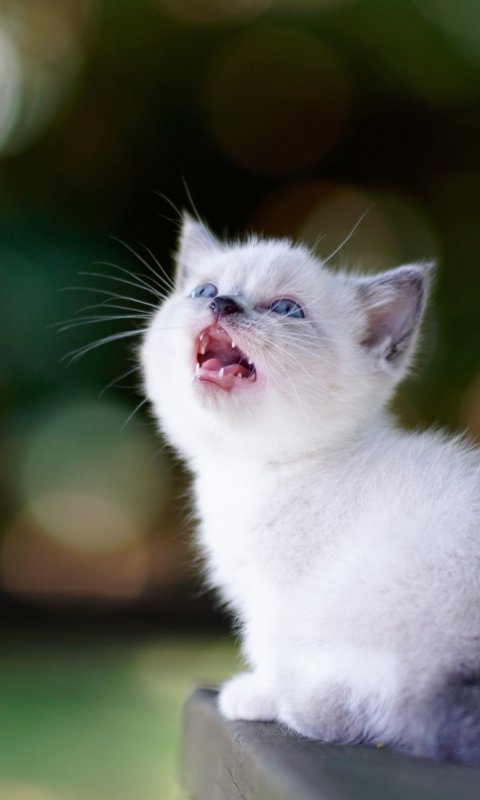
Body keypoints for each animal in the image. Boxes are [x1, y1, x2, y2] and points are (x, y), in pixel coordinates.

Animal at [142, 212, 480, 764]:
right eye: (204, 290)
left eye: (285, 309)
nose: (221, 303)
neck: (252, 471)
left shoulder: (281, 591)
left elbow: (268, 643)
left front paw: (256, 691)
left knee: (379, 702)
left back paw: (291, 699)